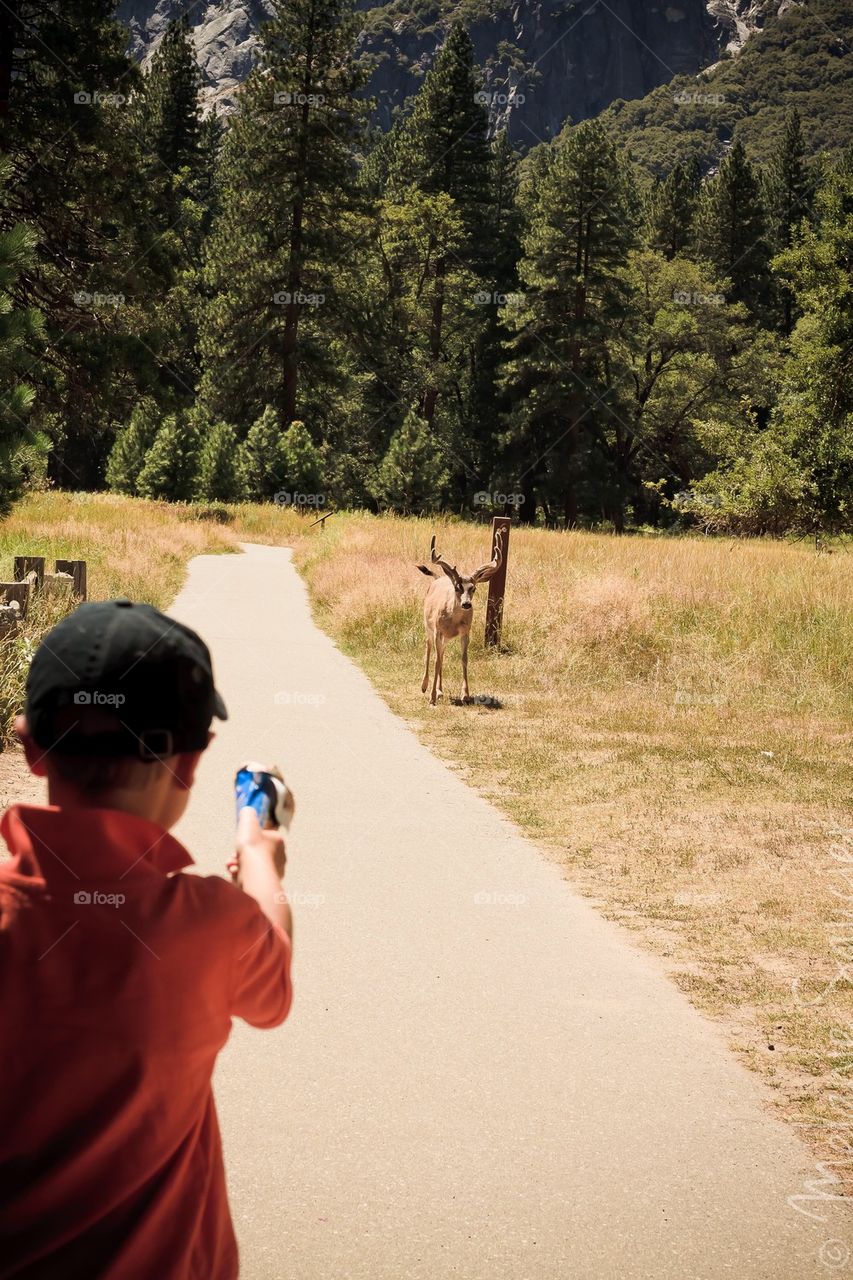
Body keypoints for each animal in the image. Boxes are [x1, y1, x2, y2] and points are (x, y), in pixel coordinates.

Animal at [414, 532, 502, 711]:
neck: (452, 621)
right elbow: (436, 660)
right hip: (428, 627)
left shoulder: (465, 632)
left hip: (445, 638)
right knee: (429, 650)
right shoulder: (438, 630)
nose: (466, 604)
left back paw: (440, 691)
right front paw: (431, 698)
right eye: (457, 587)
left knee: (442, 654)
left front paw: (465, 695)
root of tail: (439, 577)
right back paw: (425, 686)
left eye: (473, 588)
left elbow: (464, 658)